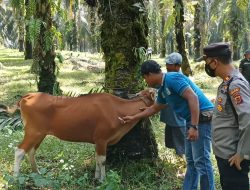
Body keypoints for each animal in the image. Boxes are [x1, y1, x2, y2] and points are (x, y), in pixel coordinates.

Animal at [10, 91, 155, 181]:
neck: (117, 109)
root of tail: (29, 95)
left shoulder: (98, 141)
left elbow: (97, 159)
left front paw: (96, 177)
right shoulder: (102, 139)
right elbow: (102, 160)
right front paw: (102, 179)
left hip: (40, 133)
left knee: (31, 151)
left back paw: (37, 173)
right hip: (33, 131)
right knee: (19, 150)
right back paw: (16, 177)